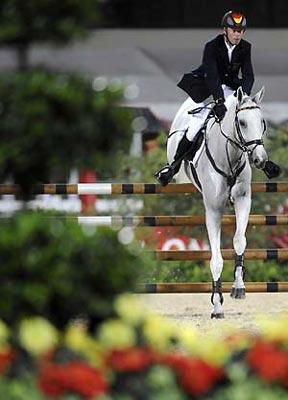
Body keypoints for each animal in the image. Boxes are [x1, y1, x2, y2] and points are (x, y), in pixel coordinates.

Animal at [166, 87, 268, 318]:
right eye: (242, 123)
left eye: (262, 122)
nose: (261, 159)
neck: (229, 155)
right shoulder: (213, 210)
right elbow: (216, 258)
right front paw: (217, 306)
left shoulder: (243, 201)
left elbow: (239, 240)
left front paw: (238, 287)